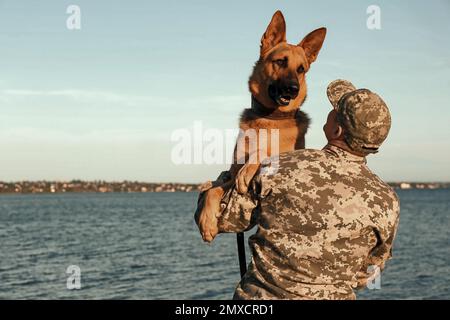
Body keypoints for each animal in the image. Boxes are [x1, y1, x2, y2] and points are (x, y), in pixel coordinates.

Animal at [195, 11, 326, 244]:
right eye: (280, 61)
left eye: (301, 69)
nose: (293, 89)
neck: (269, 118)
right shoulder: (230, 178)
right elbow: (213, 191)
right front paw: (206, 222)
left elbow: (263, 152)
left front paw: (249, 169)